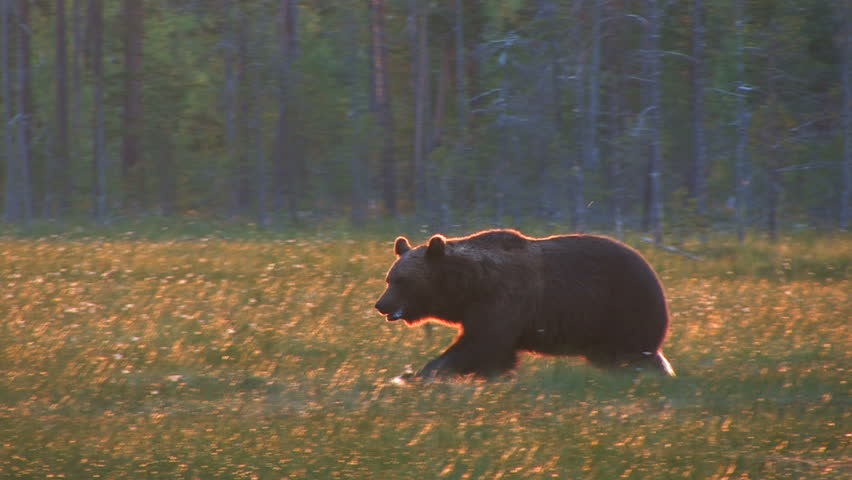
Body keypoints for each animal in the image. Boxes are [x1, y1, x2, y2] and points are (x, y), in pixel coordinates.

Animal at [374, 229, 675, 379]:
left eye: (402, 281)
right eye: (389, 279)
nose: (381, 304)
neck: (471, 286)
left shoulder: (503, 301)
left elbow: (481, 345)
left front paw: (420, 373)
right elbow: (493, 353)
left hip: (623, 308)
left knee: (631, 354)